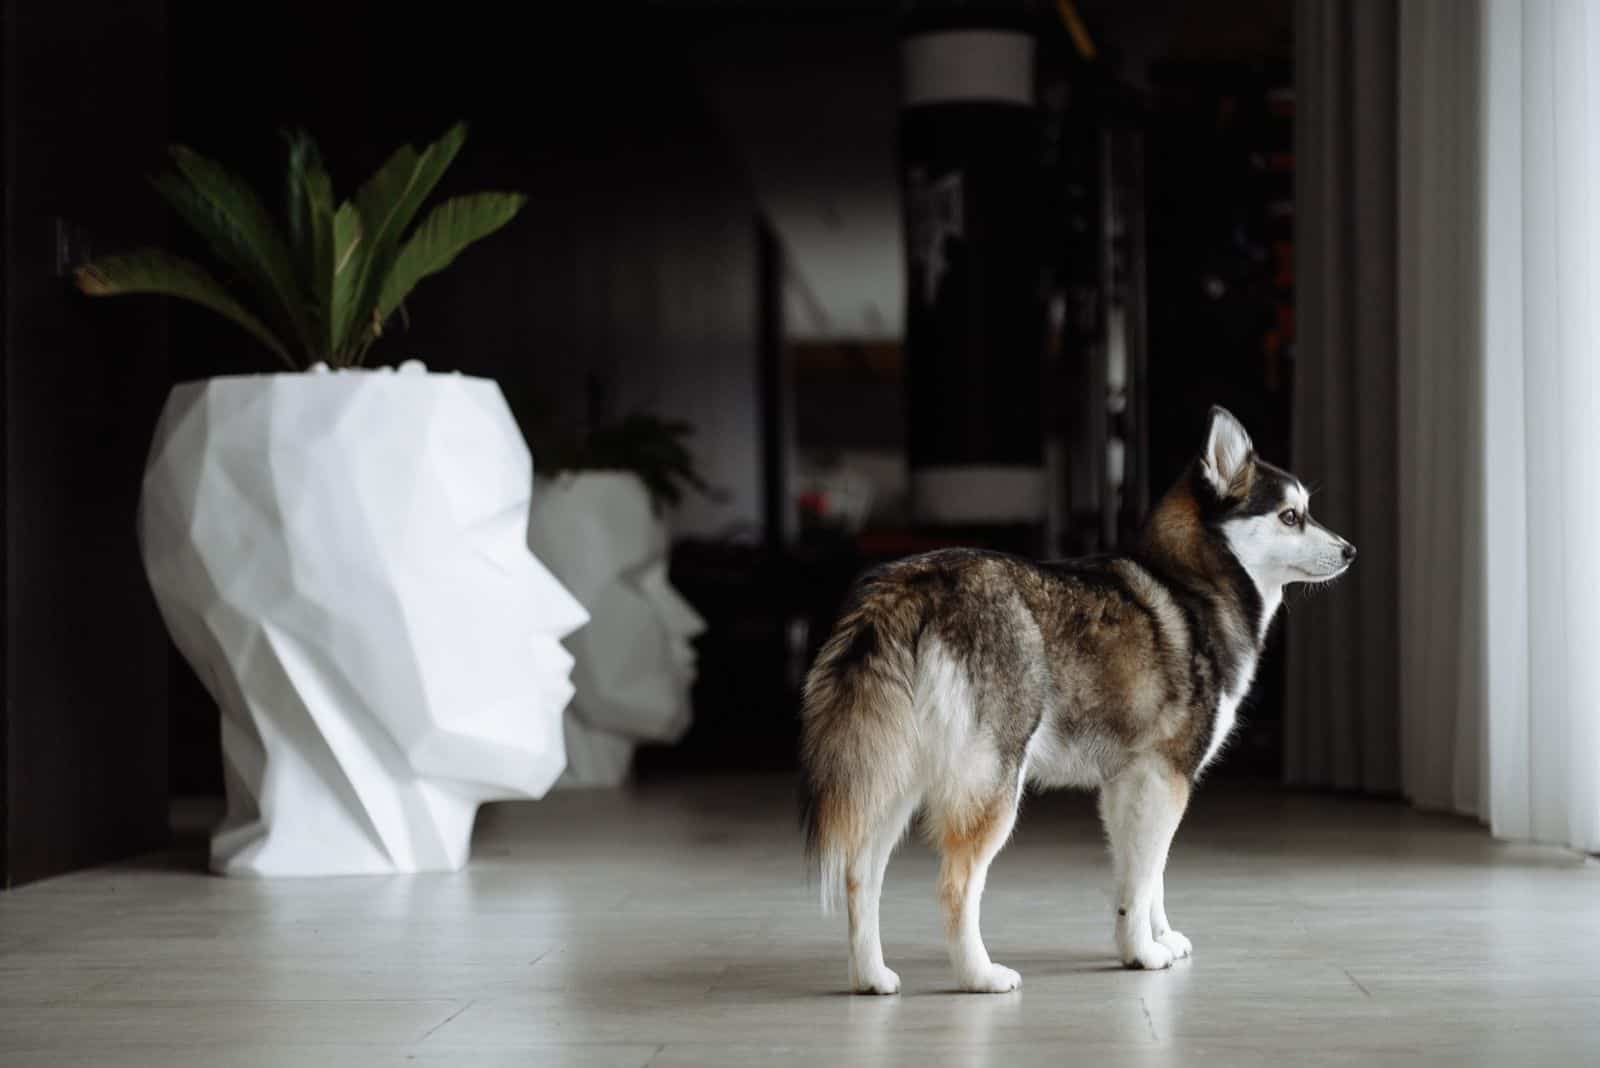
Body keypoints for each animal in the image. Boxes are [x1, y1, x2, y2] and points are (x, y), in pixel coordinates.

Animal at [800, 406, 1350, 991]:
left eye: (1306, 512)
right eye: (1291, 516)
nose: (1350, 550)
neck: (1196, 582)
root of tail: (912, 587)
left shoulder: (1131, 784)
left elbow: (1145, 877)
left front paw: (1157, 937)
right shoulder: (1166, 777)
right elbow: (1145, 876)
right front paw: (1142, 953)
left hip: (895, 779)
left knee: (859, 875)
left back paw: (871, 975)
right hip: (994, 785)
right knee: (955, 887)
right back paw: (981, 975)